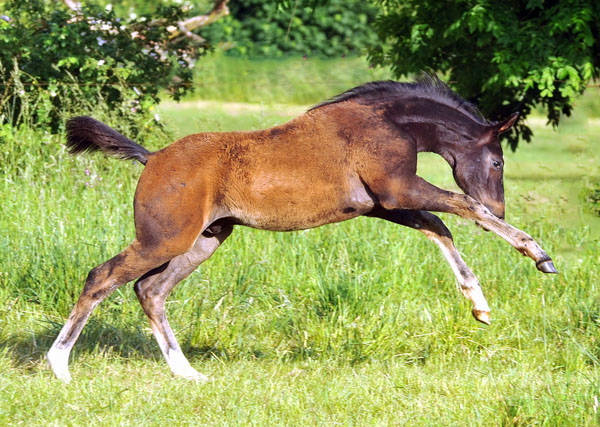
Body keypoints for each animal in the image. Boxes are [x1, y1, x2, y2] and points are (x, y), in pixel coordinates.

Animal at [48, 77, 556, 384]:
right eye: (498, 162)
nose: (501, 204)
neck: (388, 122)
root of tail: (151, 158)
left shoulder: (382, 204)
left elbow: (439, 226)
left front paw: (479, 304)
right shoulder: (398, 190)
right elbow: (463, 207)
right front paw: (536, 253)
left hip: (204, 240)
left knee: (150, 290)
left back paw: (187, 373)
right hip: (165, 238)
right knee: (102, 277)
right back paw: (59, 366)